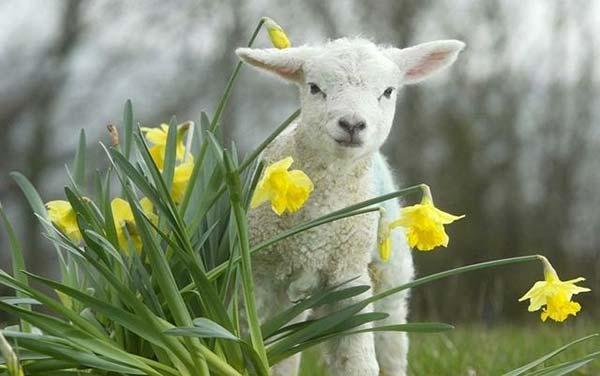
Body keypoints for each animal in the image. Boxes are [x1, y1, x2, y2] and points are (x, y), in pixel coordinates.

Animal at [236, 36, 464, 376]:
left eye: (388, 91)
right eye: (314, 87)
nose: (353, 124)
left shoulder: (349, 274)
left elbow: (359, 362)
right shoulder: (259, 273)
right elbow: (251, 343)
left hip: (389, 274)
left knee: (391, 345)